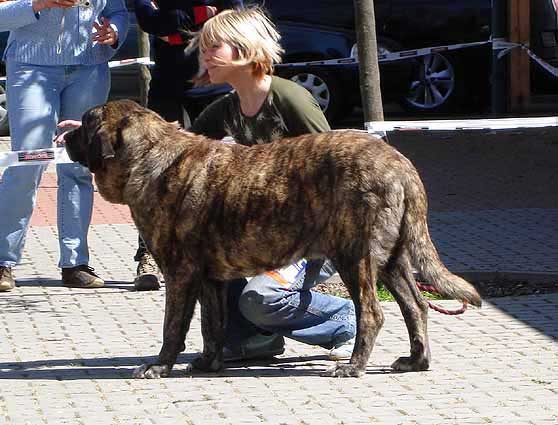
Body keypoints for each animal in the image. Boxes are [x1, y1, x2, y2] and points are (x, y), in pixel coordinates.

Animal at [65, 98, 484, 378]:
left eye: (85, 124)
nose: (66, 133)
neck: (150, 158)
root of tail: (400, 163)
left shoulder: (181, 276)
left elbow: (174, 327)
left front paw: (160, 365)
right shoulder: (210, 280)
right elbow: (211, 325)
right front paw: (209, 363)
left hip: (356, 257)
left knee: (372, 312)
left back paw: (353, 366)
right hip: (392, 260)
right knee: (416, 306)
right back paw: (416, 361)